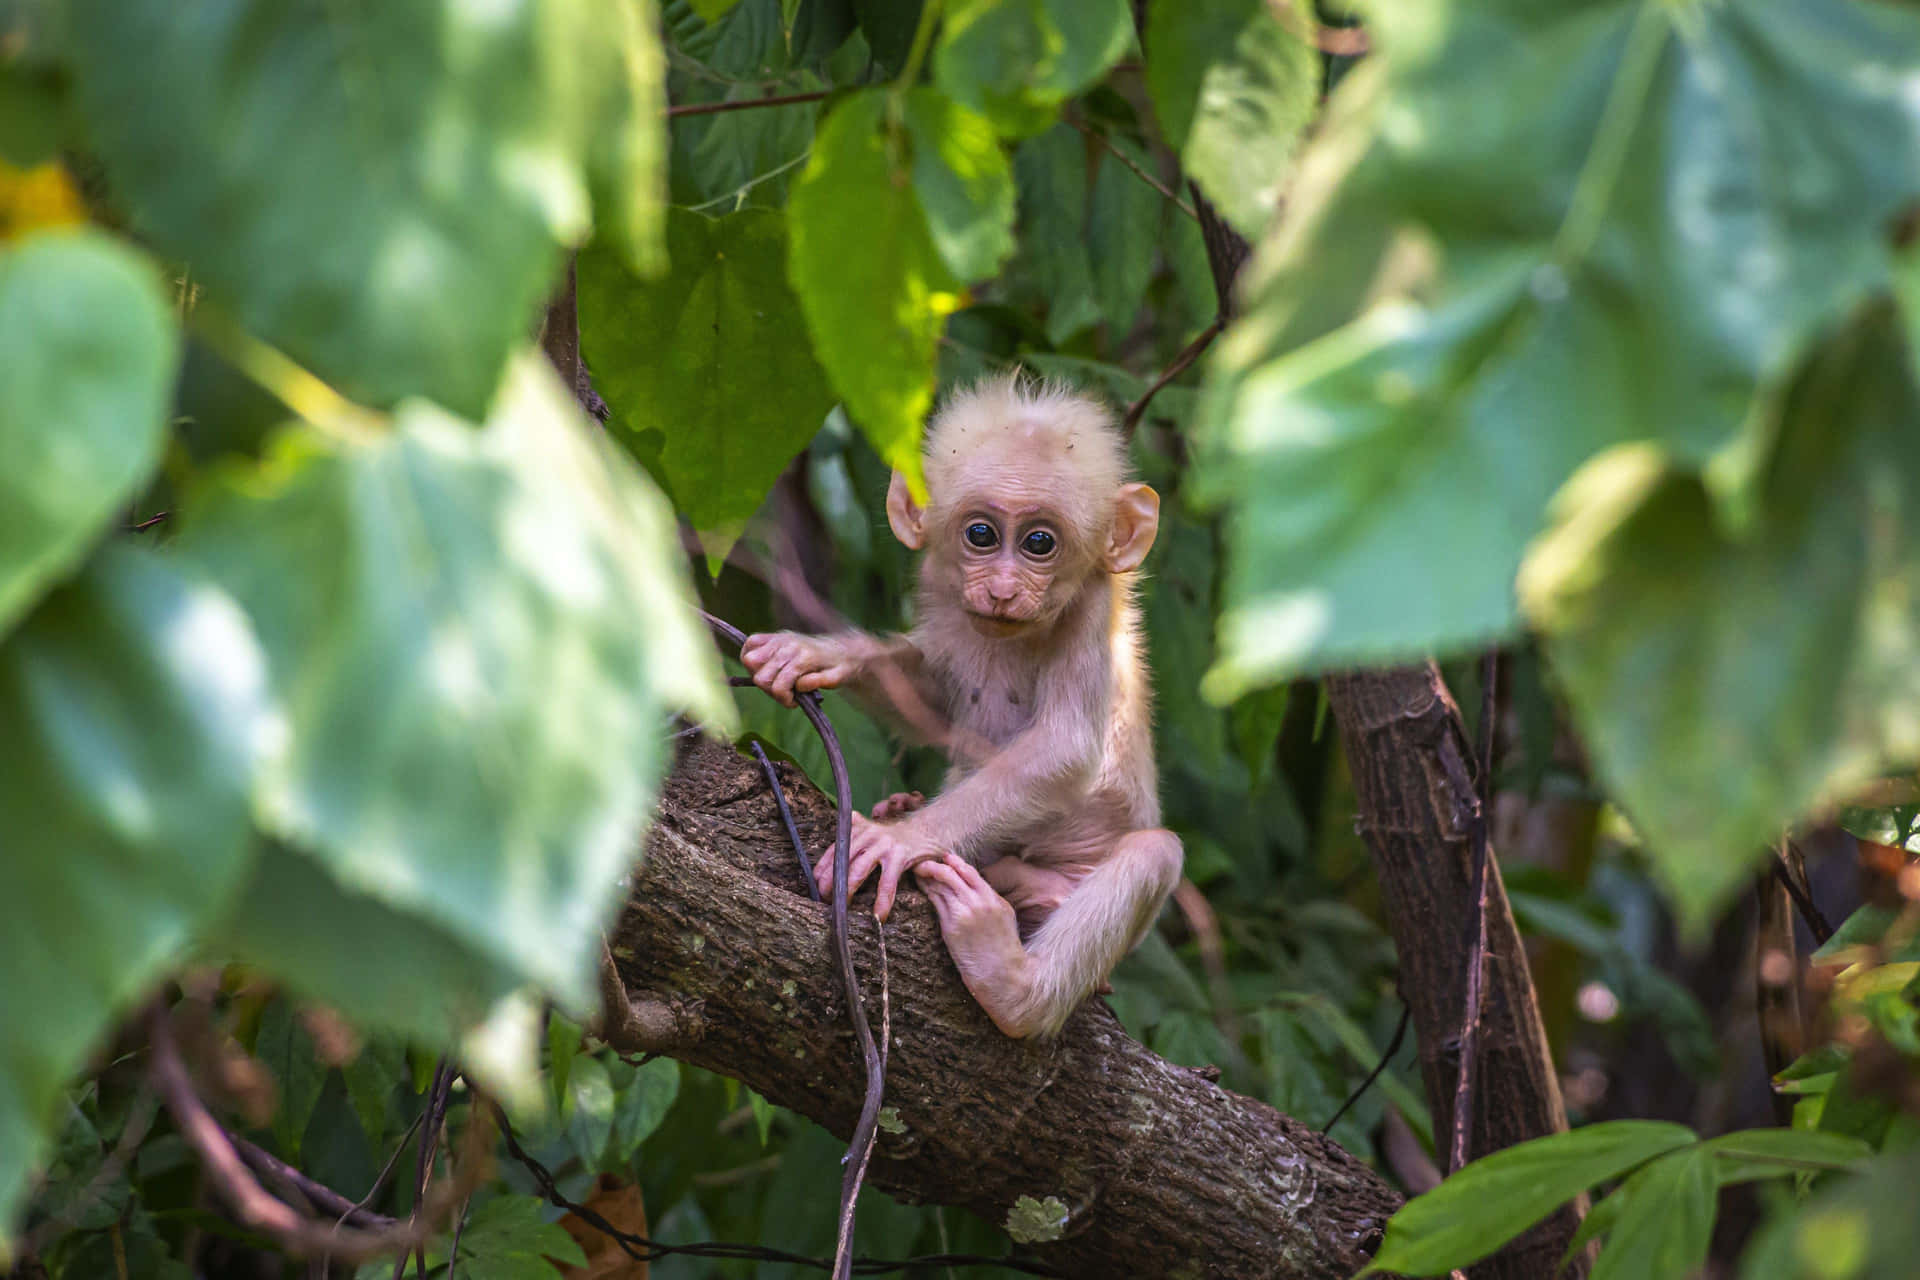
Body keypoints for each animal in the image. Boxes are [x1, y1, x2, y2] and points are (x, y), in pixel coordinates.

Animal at [737, 376, 1175, 1036]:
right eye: (981, 535)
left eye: (1040, 542)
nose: (1003, 590)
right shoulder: (943, 593)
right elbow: (935, 702)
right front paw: (819, 654)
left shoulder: (1093, 608)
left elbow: (1068, 747)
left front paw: (901, 840)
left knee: (1154, 852)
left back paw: (1012, 983)